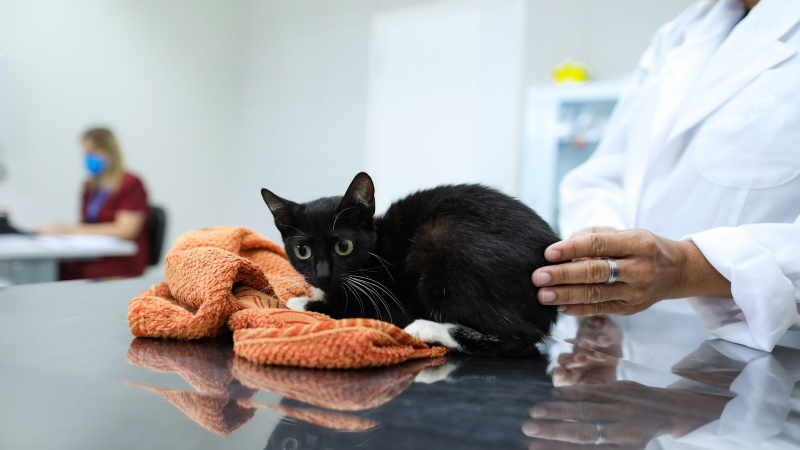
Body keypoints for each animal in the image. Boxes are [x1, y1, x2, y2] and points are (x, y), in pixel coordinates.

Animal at [260, 172, 560, 356]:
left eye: (343, 247)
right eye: (302, 251)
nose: (322, 275)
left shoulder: (387, 299)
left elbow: (345, 309)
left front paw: (301, 301)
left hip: (440, 237)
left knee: (518, 338)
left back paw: (428, 329)